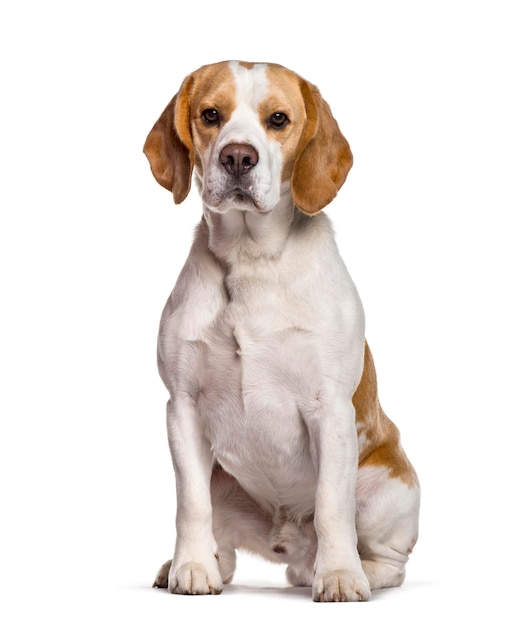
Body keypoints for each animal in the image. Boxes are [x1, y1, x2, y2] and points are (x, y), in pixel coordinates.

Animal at [144, 59, 420, 600]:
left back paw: (352, 570)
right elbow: (191, 503)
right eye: (211, 114)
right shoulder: (182, 407)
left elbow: (333, 506)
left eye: (278, 119)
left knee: (388, 560)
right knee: (225, 545)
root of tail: (290, 546)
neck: (252, 260)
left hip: (387, 489)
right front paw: (193, 568)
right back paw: (200, 563)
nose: (237, 157)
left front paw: (340, 577)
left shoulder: (328, 409)